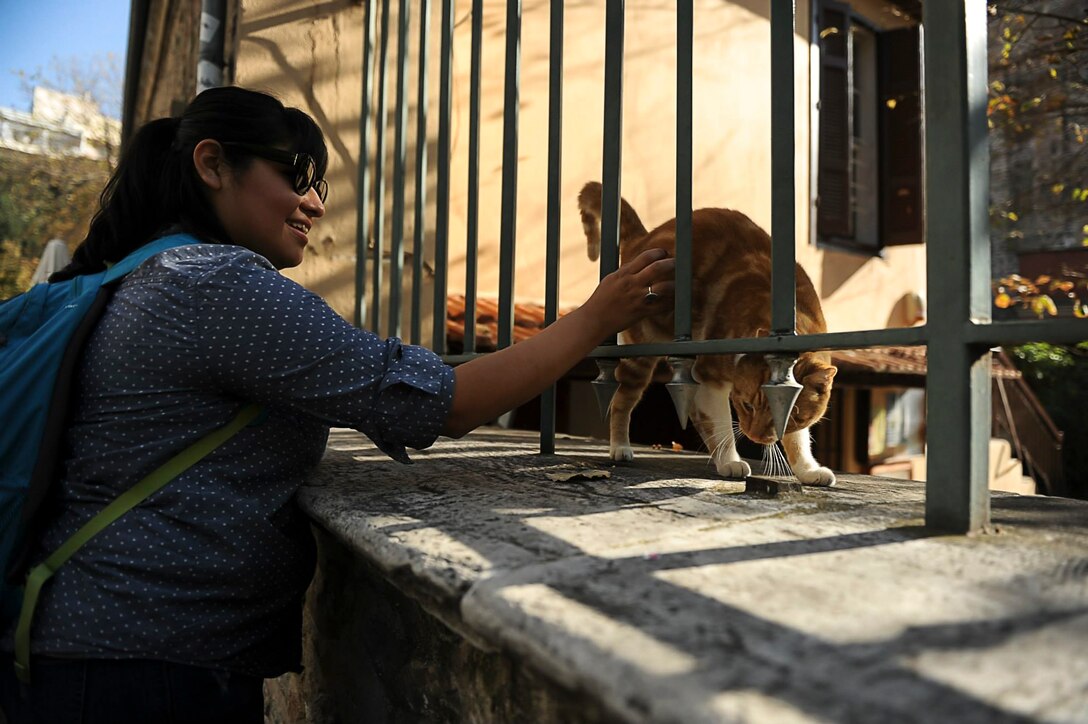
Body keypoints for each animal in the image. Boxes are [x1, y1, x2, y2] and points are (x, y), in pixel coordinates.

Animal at [583, 180, 835, 485]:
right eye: (747, 406)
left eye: (789, 416)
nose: (754, 436)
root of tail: (644, 239)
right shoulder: (708, 380)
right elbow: (721, 425)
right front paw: (731, 462)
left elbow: (798, 438)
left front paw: (809, 470)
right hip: (639, 360)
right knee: (621, 402)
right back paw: (620, 448)